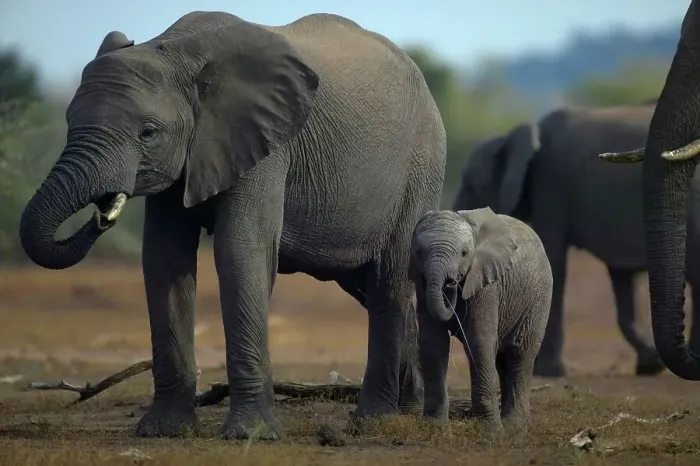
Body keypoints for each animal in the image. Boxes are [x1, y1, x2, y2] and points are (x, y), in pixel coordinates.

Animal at [18, 12, 446, 439]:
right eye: (68, 120)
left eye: (148, 133)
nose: (101, 214)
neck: (178, 52)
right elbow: (163, 259)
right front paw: (164, 431)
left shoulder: (267, 145)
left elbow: (240, 250)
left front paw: (250, 435)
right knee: (370, 286)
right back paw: (408, 411)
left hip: (420, 167)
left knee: (388, 282)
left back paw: (375, 420)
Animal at [410, 208, 552, 432]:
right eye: (419, 252)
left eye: (464, 253)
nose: (450, 283)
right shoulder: (421, 284)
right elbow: (433, 342)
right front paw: (435, 428)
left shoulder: (486, 283)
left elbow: (479, 339)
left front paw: (492, 432)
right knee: (502, 356)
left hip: (540, 294)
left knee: (519, 350)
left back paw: (514, 426)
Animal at [453, 102, 700, 378]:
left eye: (472, 184)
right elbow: (621, 278)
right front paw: (650, 365)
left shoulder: (550, 187)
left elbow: (555, 260)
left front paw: (548, 371)